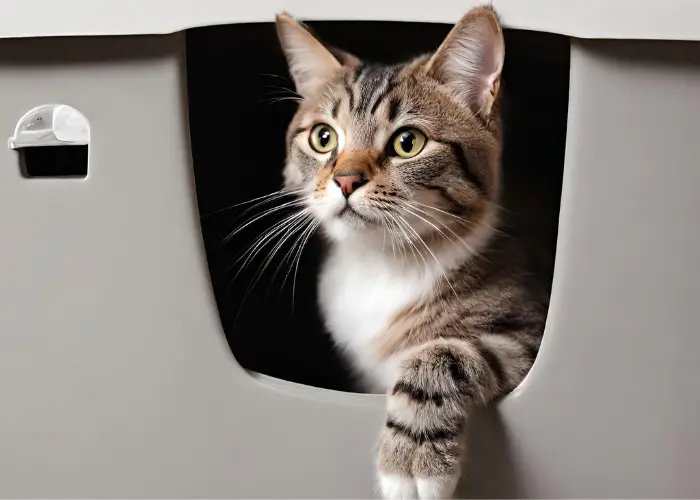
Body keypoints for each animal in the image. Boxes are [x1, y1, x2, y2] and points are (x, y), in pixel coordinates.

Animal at [276, 6, 548, 496]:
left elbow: (442, 354)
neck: (380, 264)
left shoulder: (525, 332)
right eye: (324, 138)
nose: (345, 179)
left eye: (408, 143)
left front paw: (411, 459)